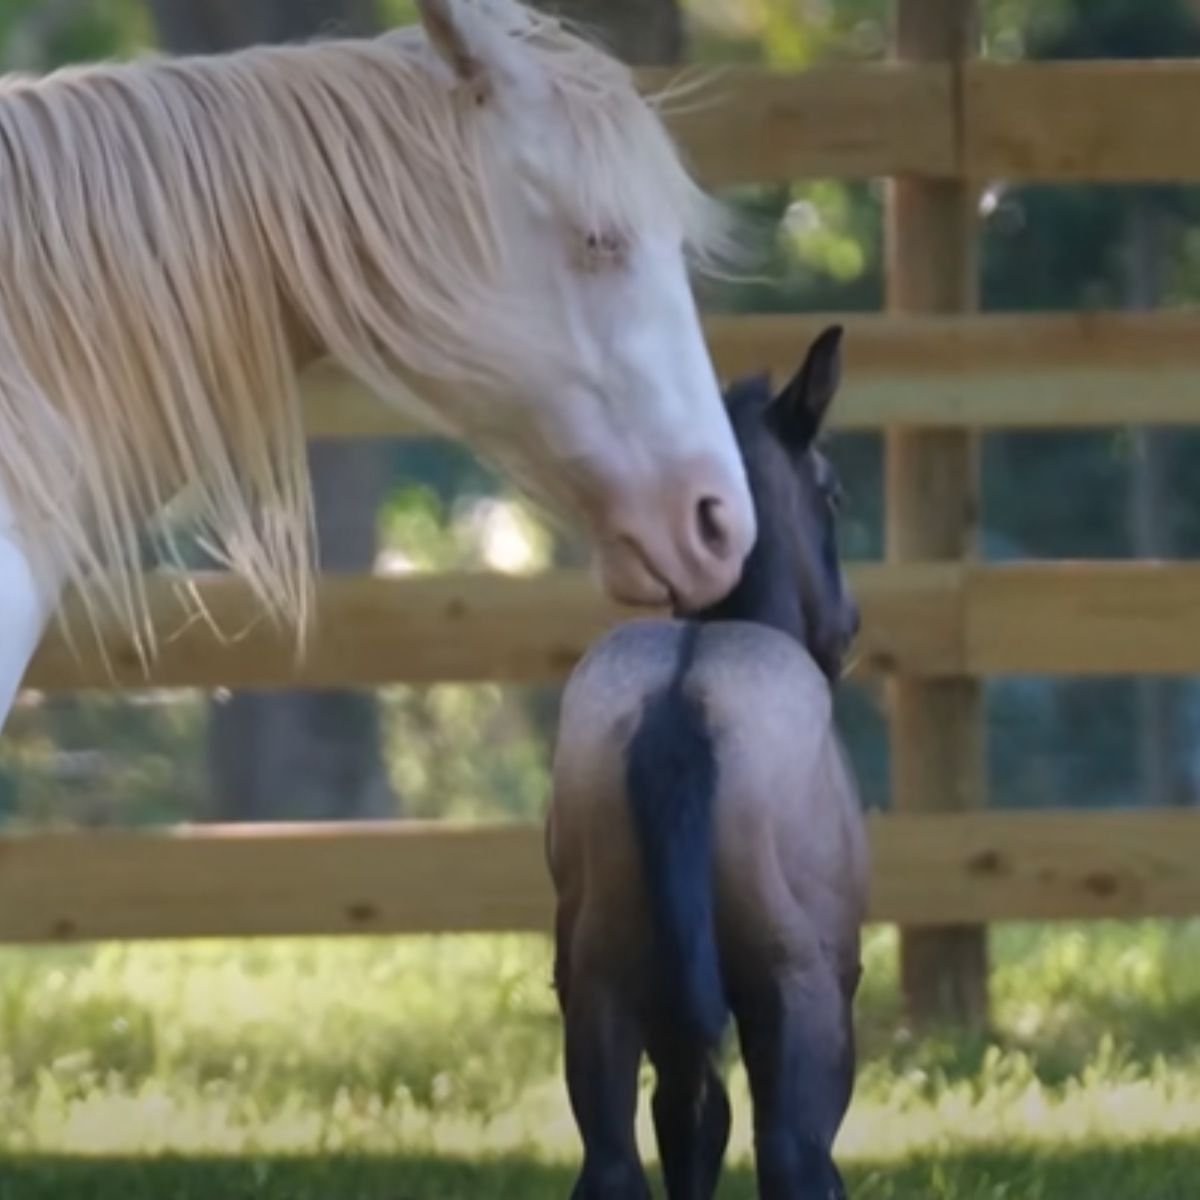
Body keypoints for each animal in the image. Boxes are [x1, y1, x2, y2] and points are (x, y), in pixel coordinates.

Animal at [549, 328, 868, 1200]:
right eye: (831, 493)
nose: (848, 627)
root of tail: (680, 715)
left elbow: (691, 1131)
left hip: (604, 980)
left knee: (619, 1158)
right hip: (792, 987)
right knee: (793, 1154)